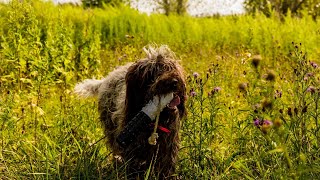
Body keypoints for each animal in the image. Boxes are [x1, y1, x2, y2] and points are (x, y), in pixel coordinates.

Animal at [74, 44, 186, 179]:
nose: (174, 82)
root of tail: (107, 78)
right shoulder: (131, 150)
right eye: (152, 74)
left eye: (169, 68)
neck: (154, 123)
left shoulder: (168, 149)